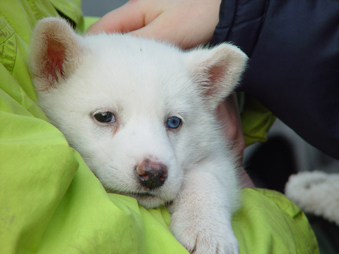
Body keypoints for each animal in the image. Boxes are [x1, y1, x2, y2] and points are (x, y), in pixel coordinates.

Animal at [29, 17, 247, 254]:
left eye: (174, 122)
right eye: (104, 116)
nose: (153, 174)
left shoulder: (215, 149)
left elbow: (208, 178)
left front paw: (208, 230)